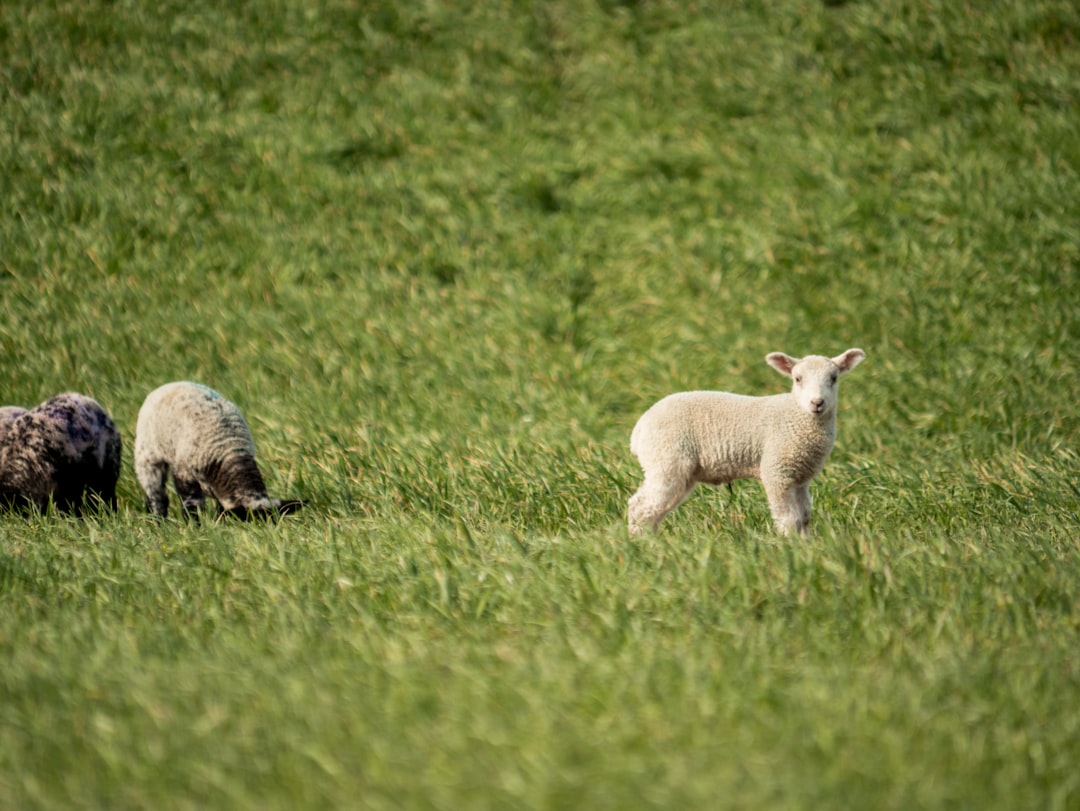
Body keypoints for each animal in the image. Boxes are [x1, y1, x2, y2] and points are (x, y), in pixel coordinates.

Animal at [136, 382, 304, 520]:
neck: (228, 451)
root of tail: (170, 385)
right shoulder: (185, 474)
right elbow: (192, 505)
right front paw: (195, 527)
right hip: (147, 456)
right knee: (156, 495)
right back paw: (158, 521)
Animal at [630, 349, 864, 539]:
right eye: (797, 379)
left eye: (834, 378)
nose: (817, 403)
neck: (796, 415)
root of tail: (640, 427)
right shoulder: (777, 472)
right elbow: (789, 519)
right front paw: (791, 546)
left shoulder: (800, 478)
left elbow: (804, 516)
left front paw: (807, 545)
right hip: (666, 459)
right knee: (640, 507)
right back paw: (642, 544)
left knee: (652, 510)